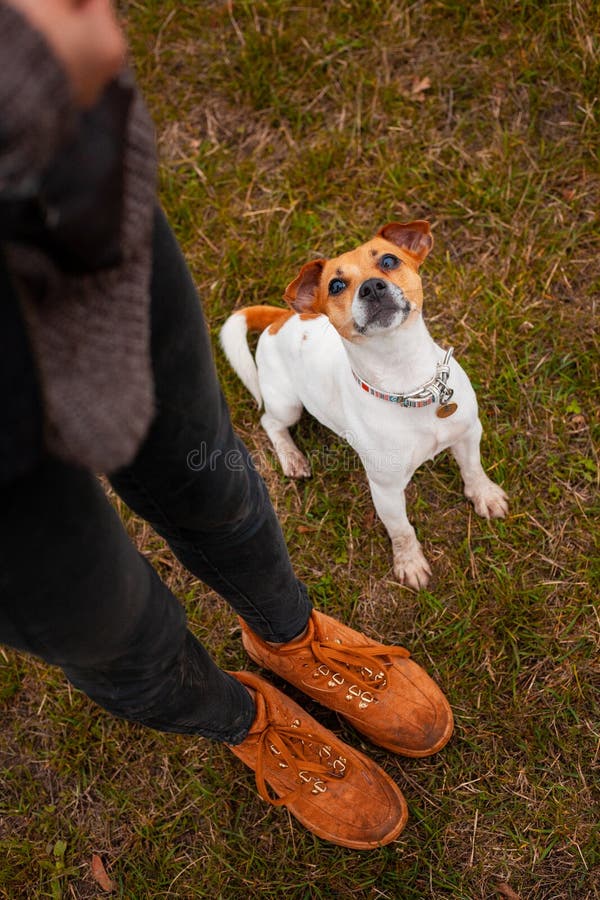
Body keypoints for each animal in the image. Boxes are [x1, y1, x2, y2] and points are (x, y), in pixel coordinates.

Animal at [223, 222, 508, 592]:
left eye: (388, 260)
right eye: (336, 285)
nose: (372, 287)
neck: (408, 383)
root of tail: (282, 318)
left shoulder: (469, 433)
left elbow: (473, 469)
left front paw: (485, 496)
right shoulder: (385, 489)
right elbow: (401, 530)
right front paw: (409, 563)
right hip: (288, 404)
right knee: (270, 422)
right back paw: (292, 457)